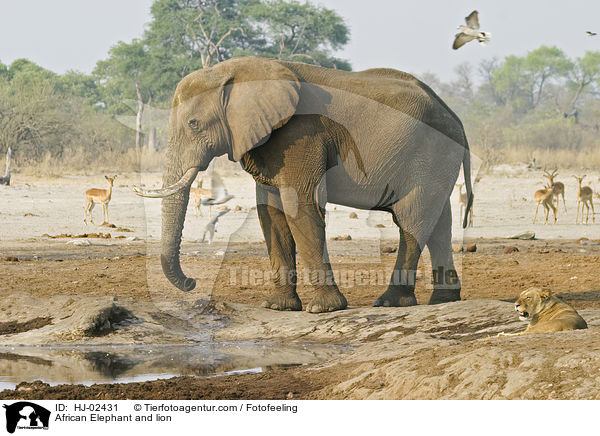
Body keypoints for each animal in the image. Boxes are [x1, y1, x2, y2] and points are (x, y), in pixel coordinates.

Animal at [137, 56, 474, 314]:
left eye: (193, 124)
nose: (192, 283)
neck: (235, 71)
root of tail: (456, 117)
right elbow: (271, 212)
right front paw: (278, 307)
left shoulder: (301, 135)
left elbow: (299, 205)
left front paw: (323, 309)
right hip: (437, 160)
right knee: (439, 222)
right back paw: (443, 300)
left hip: (428, 153)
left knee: (411, 219)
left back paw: (391, 302)